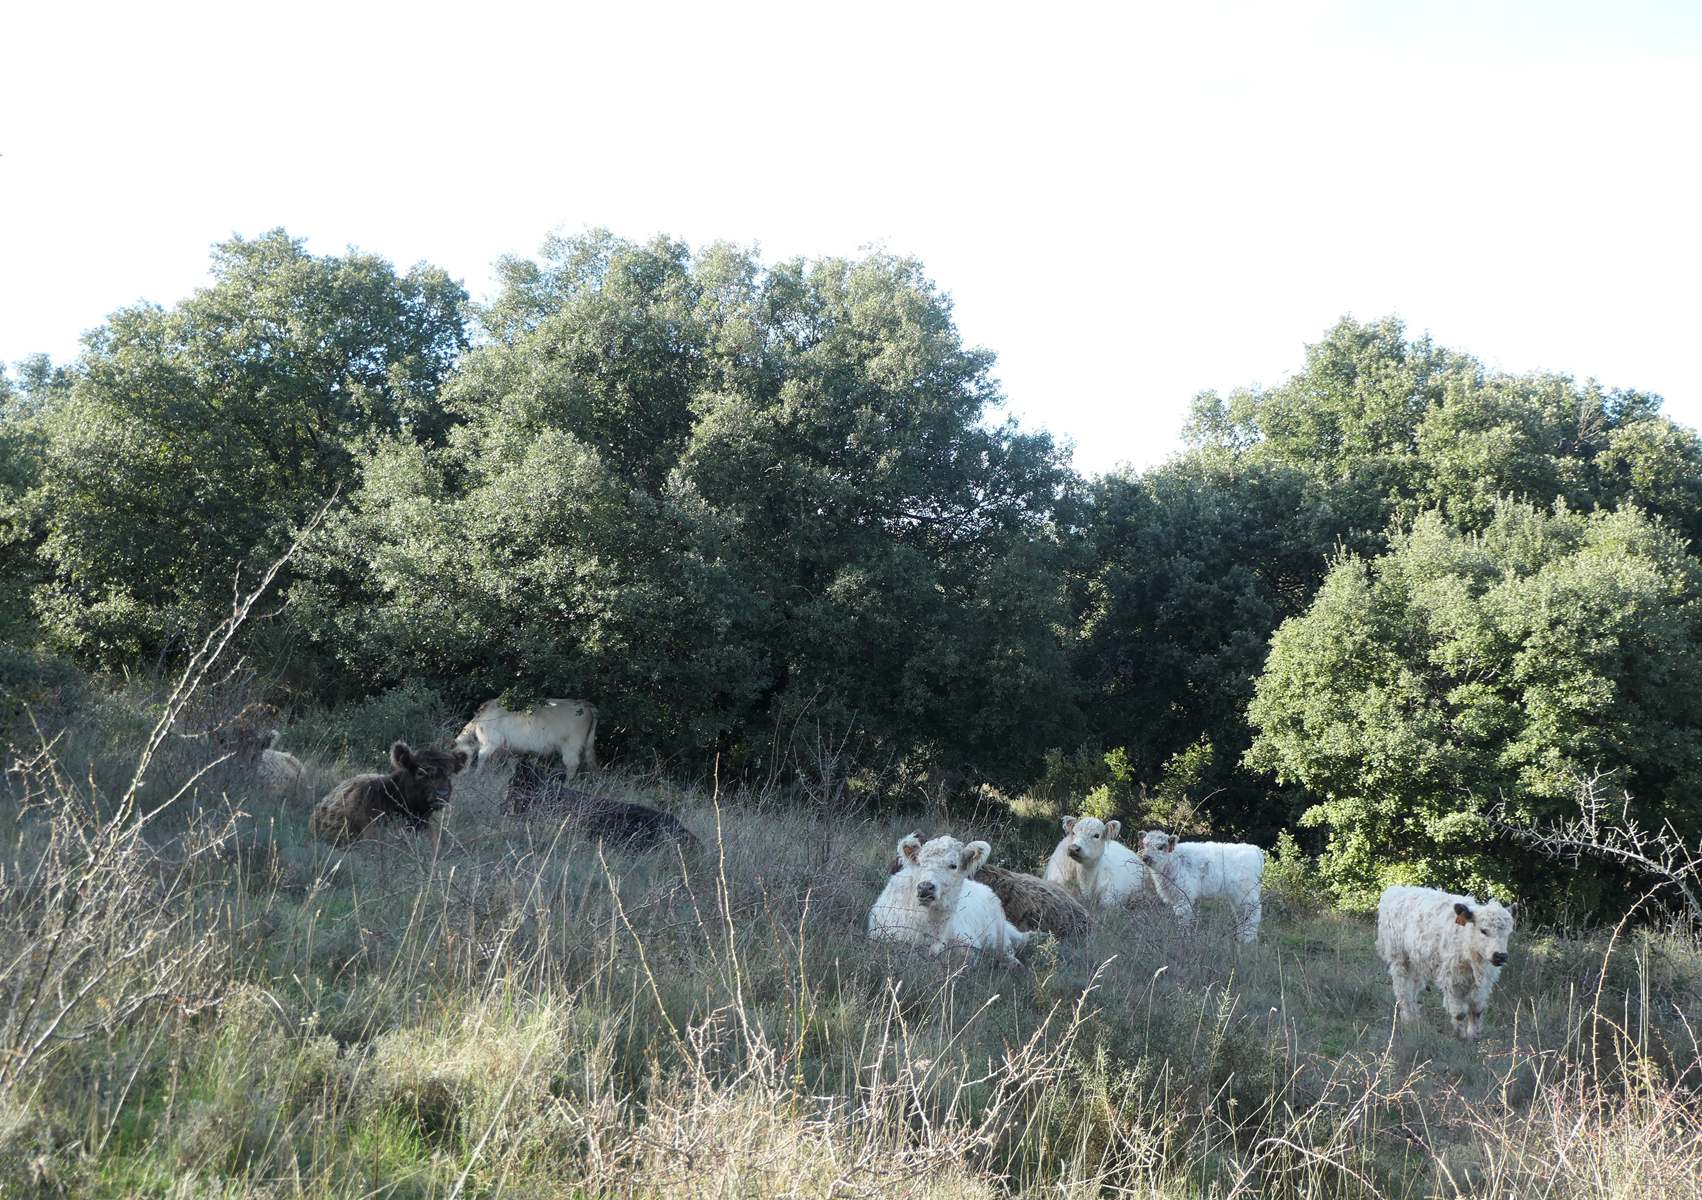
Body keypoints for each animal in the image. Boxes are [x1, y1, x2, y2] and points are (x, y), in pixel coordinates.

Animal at [454, 698, 598, 778]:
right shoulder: (512, 749)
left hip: (571, 745)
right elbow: (512, 764)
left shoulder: (492, 741)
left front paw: (477, 774)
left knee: (572, 765)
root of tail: (586, 705)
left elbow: (482, 756)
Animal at [1135, 830, 1265, 943]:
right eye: (1145, 845)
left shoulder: (1185, 893)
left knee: (1253, 912)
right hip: (1238, 896)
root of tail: (1255, 849)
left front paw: (1183, 936)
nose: (1145, 857)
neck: (1173, 860)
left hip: (1247, 893)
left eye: (1160, 847)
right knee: (1241, 914)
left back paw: (1247, 939)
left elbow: (1182, 915)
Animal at [1376, 885, 1516, 1040]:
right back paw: (1408, 1019)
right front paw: (1460, 1036)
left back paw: (1415, 1016)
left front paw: (1473, 1037)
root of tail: (1395, 889)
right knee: (1402, 989)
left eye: (1508, 933)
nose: (1501, 956)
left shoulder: (1484, 982)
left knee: (1413, 988)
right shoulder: (1452, 978)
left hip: (1416, 962)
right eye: (1483, 931)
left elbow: (1477, 1010)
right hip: (1399, 958)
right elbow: (1459, 1013)